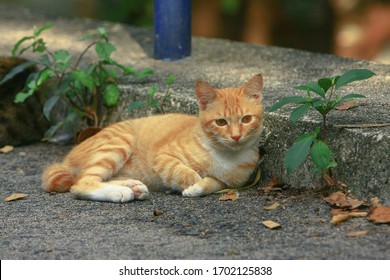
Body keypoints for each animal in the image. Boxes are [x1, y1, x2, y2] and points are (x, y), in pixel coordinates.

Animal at [42, 73, 264, 202]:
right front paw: (193, 183)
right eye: (221, 122)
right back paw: (118, 192)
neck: (225, 155)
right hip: (119, 143)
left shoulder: (229, 183)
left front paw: (199, 187)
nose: (236, 136)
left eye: (246, 119)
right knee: (82, 183)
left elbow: (213, 183)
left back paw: (131, 187)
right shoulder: (162, 157)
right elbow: (184, 172)